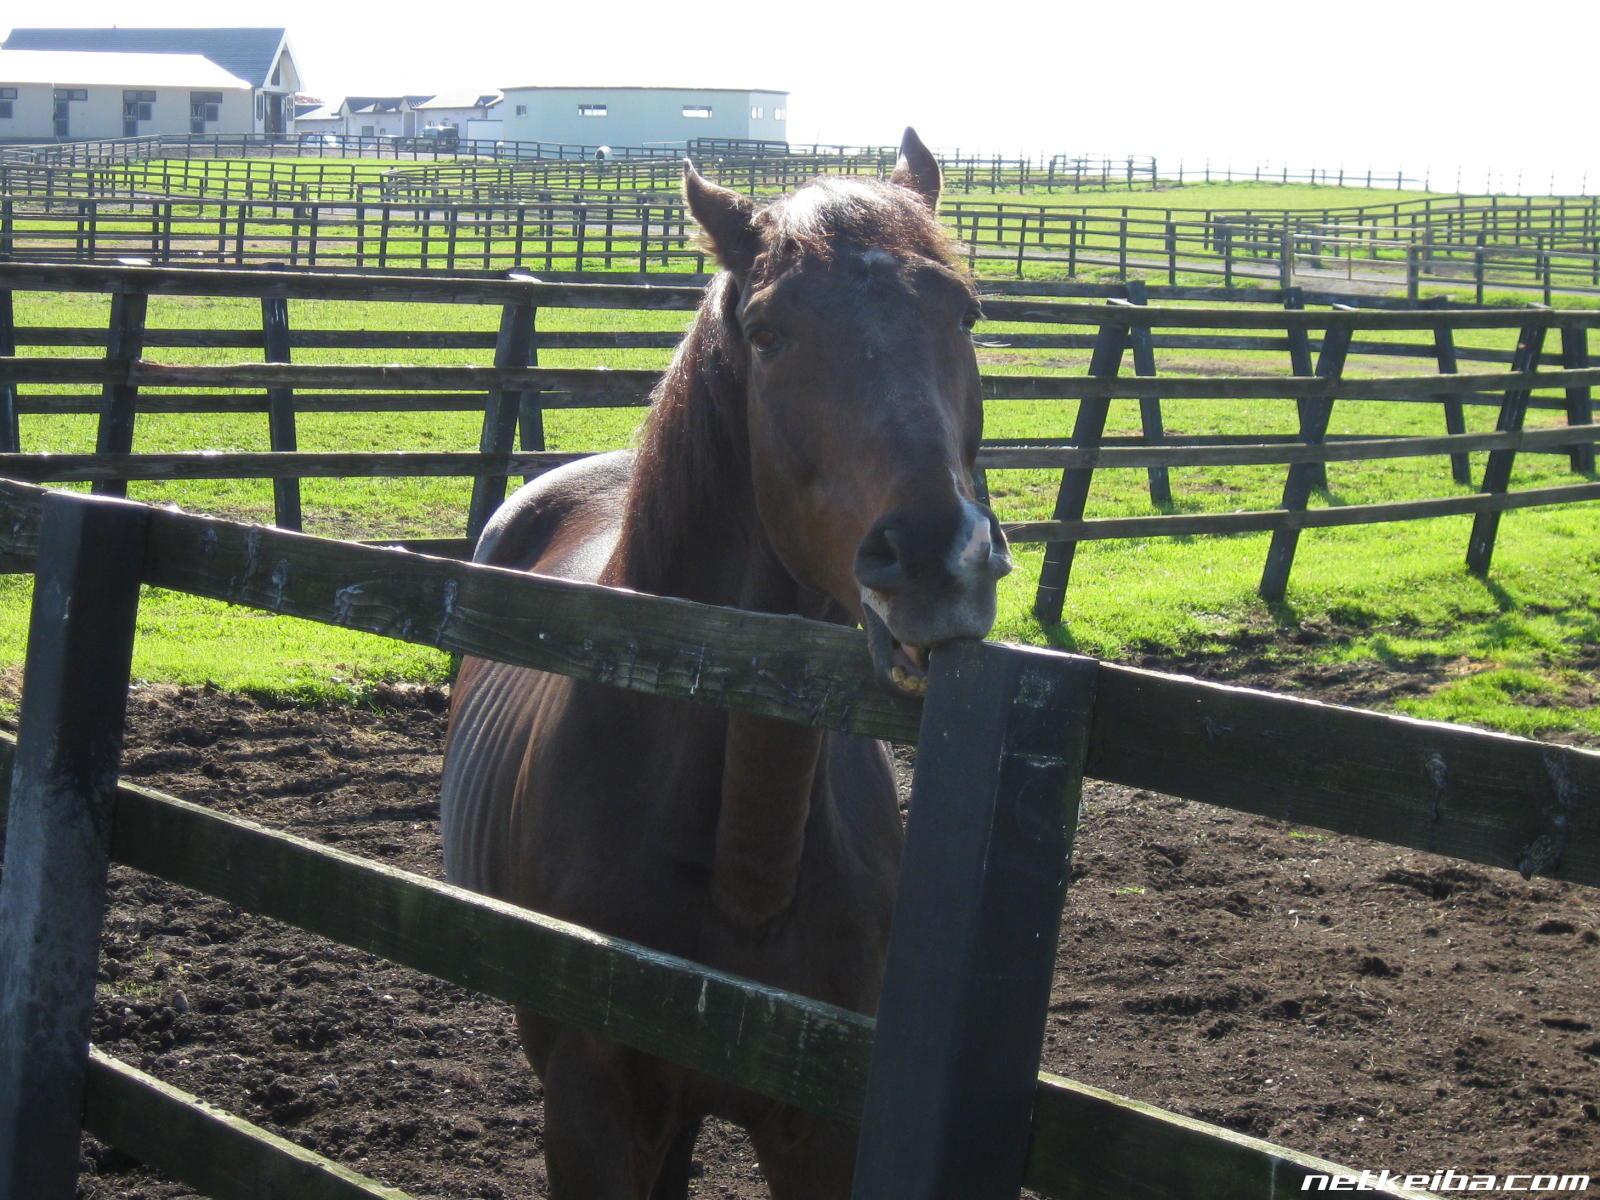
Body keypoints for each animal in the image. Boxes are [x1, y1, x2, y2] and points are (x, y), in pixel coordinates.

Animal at [438, 128, 1011, 1198]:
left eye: (964, 311)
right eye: (769, 331)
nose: (934, 558)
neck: (748, 857)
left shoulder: (821, 1121)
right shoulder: (593, 1108)